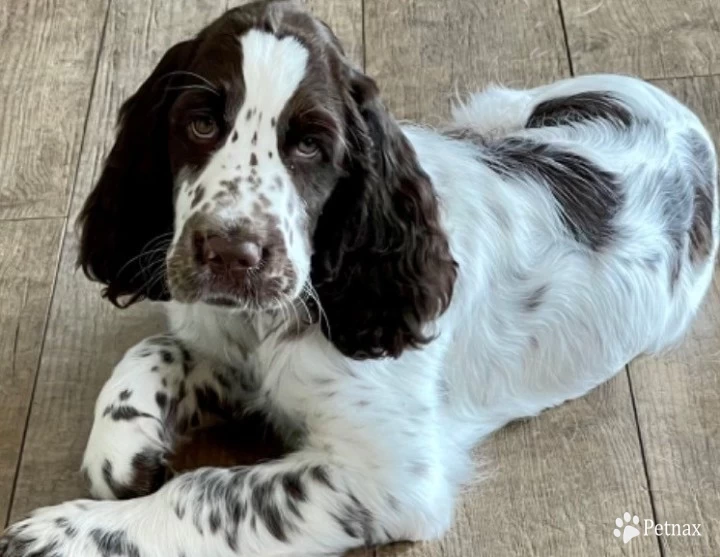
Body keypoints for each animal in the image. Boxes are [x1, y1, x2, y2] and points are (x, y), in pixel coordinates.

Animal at [2, 1, 716, 556]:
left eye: (310, 144)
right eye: (200, 123)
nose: (232, 253)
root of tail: (667, 101)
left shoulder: (388, 477)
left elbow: (208, 490)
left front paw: (63, 533)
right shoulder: (232, 350)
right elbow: (155, 346)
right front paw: (122, 441)